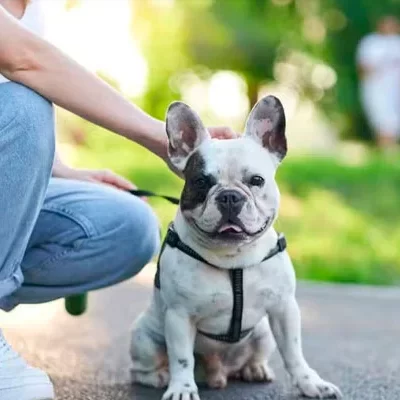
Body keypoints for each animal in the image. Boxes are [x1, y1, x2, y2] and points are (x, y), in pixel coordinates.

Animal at [130, 97, 342, 400]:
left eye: (256, 180)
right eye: (201, 182)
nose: (229, 196)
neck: (233, 258)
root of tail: (217, 373)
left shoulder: (284, 308)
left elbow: (294, 351)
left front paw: (310, 383)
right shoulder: (179, 316)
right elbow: (181, 358)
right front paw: (182, 388)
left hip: (263, 334)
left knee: (255, 355)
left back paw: (255, 369)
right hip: (143, 337)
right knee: (143, 367)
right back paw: (159, 377)